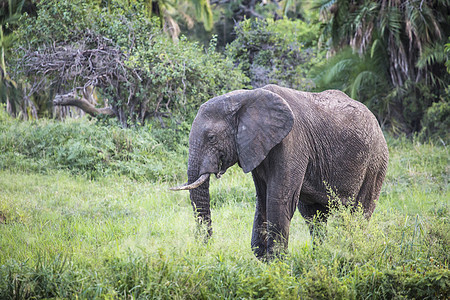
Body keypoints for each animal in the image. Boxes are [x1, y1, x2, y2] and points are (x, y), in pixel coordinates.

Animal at [171, 84, 388, 258]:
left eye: (211, 138)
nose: (206, 246)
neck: (245, 98)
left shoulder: (292, 142)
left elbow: (278, 199)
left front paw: (276, 263)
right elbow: (263, 199)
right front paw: (263, 258)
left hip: (375, 162)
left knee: (358, 214)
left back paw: (352, 251)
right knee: (314, 217)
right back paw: (321, 255)